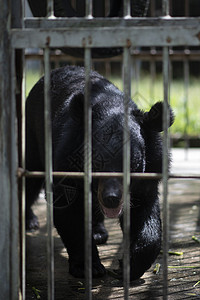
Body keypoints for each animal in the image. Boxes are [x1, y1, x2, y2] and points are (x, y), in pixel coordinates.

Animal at [25, 65, 174, 278]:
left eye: (133, 164)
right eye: (95, 163)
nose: (112, 198)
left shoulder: (149, 173)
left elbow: (145, 215)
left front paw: (128, 266)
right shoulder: (65, 159)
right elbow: (68, 211)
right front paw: (88, 267)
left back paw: (98, 232)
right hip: (33, 135)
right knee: (30, 179)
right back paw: (30, 221)